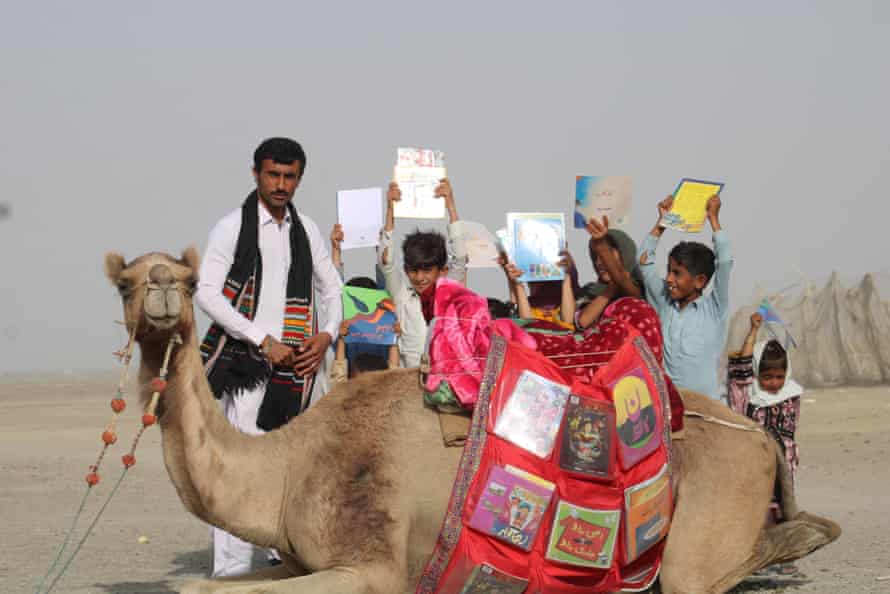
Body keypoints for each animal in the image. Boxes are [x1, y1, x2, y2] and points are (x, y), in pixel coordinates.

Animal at [106, 250, 840, 592]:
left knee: (715, 566)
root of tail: (761, 439)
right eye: (125, 281)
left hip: (711, 515)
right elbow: (197, 583)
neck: (285, 466)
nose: (163, 288)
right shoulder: (299, 560)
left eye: (186, 275)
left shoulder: (373, 566)